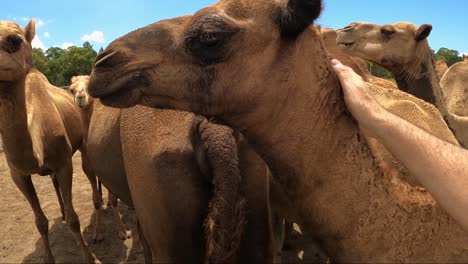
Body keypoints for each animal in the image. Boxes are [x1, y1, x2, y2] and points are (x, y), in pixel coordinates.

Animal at [0, 19, 94, 262]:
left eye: (15, 39)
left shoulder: (64, 164)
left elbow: (74, 220)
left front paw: (88, 257)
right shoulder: (18, 174)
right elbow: (40, 222)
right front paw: (48, 258)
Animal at [67, 75, 131, 240]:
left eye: (90, 86)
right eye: (71, 89)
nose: (80, 97)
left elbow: (114, 200)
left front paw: (123, 231)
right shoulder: (87, 165)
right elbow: (95, 201)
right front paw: (98, 232)